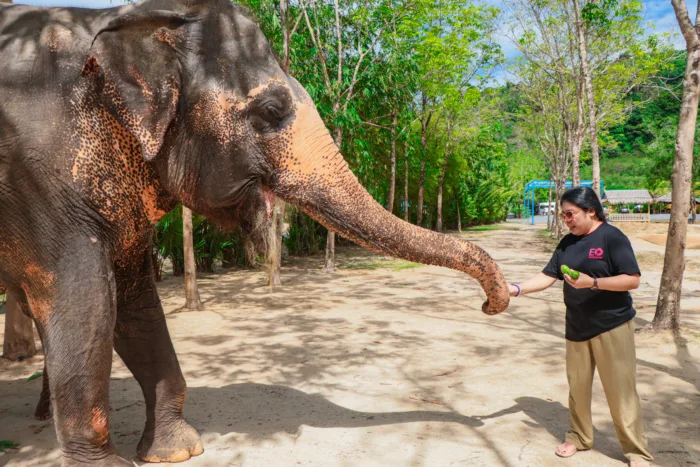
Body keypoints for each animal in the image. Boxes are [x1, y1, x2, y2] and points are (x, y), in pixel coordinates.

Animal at [0, 0, 510, 464]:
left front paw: (176, 450)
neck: (126, 17)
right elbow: (85, 303)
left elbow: (135, 300)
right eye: (271, 109)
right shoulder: (39, 178)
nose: (490, 305)